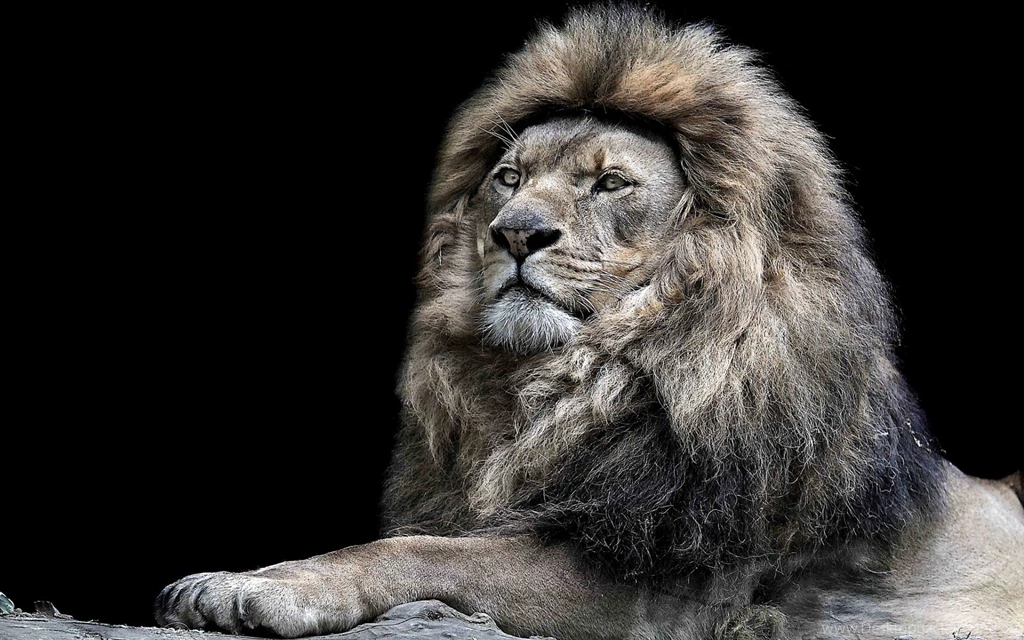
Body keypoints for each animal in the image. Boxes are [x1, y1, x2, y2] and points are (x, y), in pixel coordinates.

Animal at [155, 6, 1024, 639]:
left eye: (609, 183)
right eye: (510, 178)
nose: (515, 232)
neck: (568, 382)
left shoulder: (665, 585)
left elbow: (420, 552)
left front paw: (254, 587)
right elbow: (437, 543)